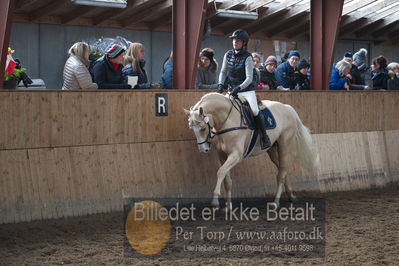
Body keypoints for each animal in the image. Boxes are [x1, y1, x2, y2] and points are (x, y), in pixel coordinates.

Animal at [186, 92, 320, 209]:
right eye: (192, 128)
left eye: (203, 128)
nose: (203, 149)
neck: (227, 120)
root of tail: (287, 107)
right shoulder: (222, 155)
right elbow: (226, 179)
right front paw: (228, 207)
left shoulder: (236, 155)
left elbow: (220, 172)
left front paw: (215, 201)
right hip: (272, 150)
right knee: (283, 169)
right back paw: (291, 195)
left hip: (284, 146)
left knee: (281, 173)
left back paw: (275, 203)